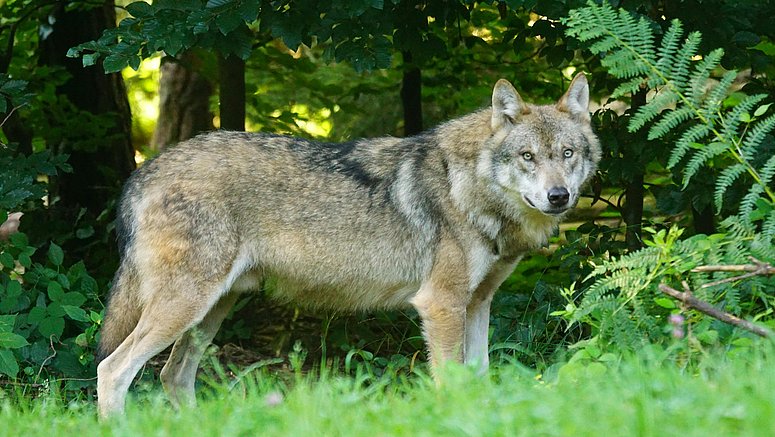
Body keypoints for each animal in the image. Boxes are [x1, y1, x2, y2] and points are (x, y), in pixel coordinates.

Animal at [95, 72, 600, 416]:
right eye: (527, 157)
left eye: (567, 154)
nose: (559, 196)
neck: (469, 187)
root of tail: (143, 171)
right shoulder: (441, 305)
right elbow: (451, 383)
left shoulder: (477, 304)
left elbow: (479, 378)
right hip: (185, 307)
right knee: (112, 370)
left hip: (210, 312)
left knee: (172, 375)